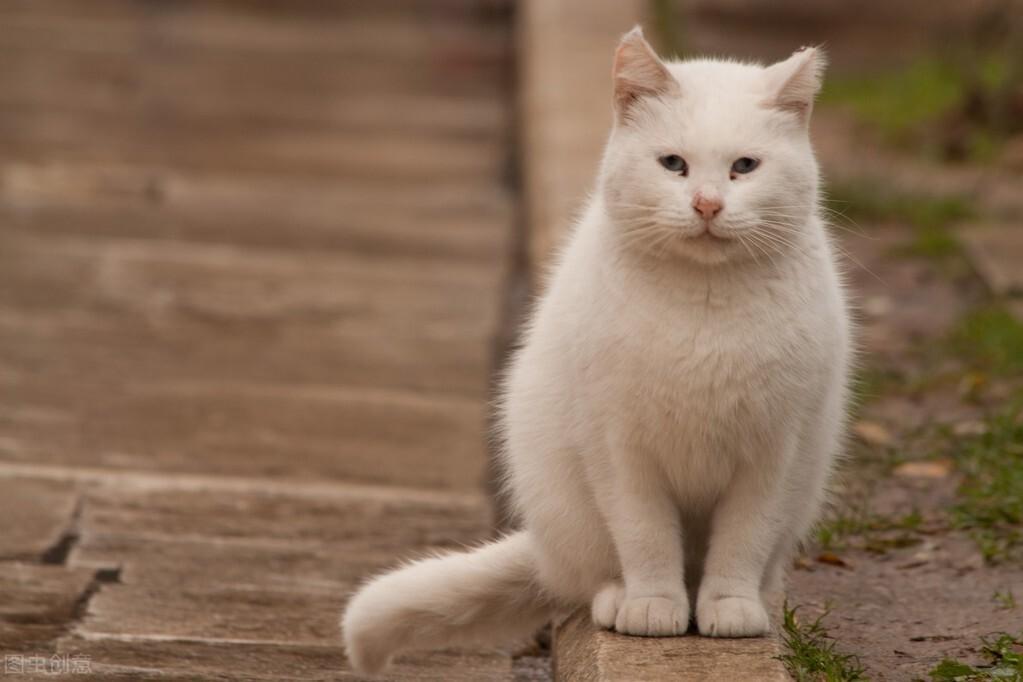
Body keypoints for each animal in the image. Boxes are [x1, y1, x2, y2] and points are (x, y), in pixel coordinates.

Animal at [339, 27, 851, 678]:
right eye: (673, 164)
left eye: (744, 166)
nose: (708, 204)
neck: (704, 303)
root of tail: (543, 549)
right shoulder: (618, 449)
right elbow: (645, 535)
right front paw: (653, 606)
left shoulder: (774, 451)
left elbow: (744, 537)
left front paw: (730, 606)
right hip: (565, 499)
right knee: (589, 576)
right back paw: (619, 597)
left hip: (806, 480)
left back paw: (750, 595)